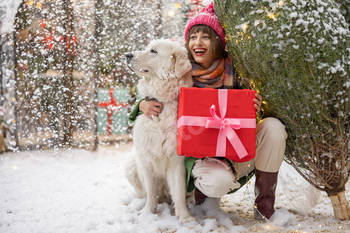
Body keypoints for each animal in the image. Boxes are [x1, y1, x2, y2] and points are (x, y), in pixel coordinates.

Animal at [123, 39, 194, 222]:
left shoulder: (177, 162)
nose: (127, 55)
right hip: (130, 164)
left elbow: (179, 193)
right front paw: (148, 212)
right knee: (143, 192)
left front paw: (185, 217)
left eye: (153, 51)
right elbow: (151, 192)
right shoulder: (146, 159)